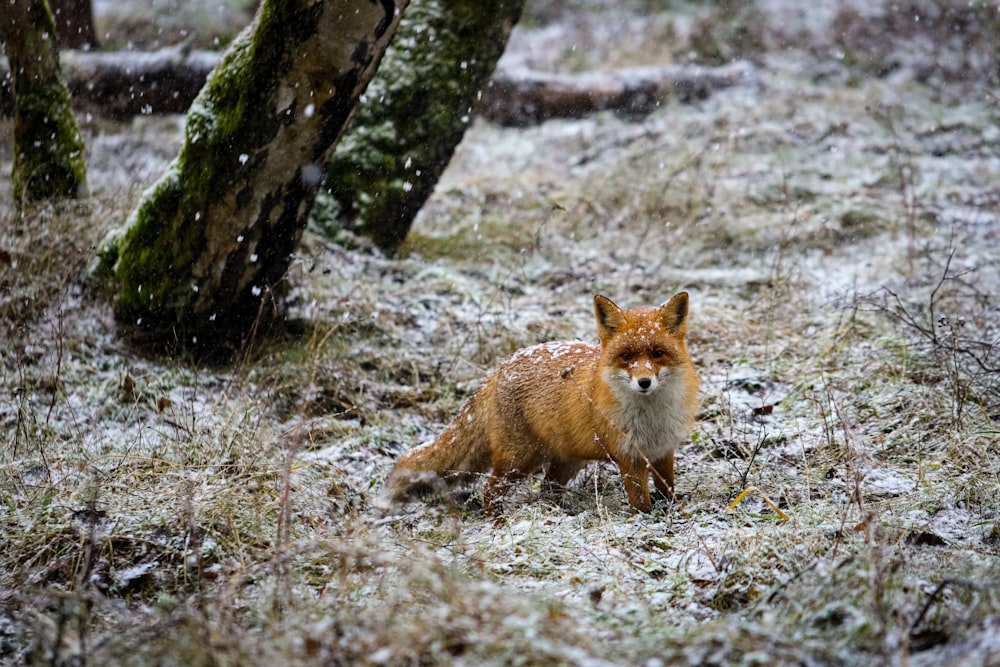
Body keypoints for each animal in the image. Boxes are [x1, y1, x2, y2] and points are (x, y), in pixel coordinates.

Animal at [386, 292, 700, 512]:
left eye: (657, 354)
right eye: (627, 357)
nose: (644, 382)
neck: (651, 418)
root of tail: (502, 366)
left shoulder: (662, 451)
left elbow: (669, 490)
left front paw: (673, 512)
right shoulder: (629, 457)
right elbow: (641, 504)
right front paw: (648, 520)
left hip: (565, 462)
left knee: (546, 490)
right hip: (519, 460)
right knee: (489, 491)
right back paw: (498, 520)